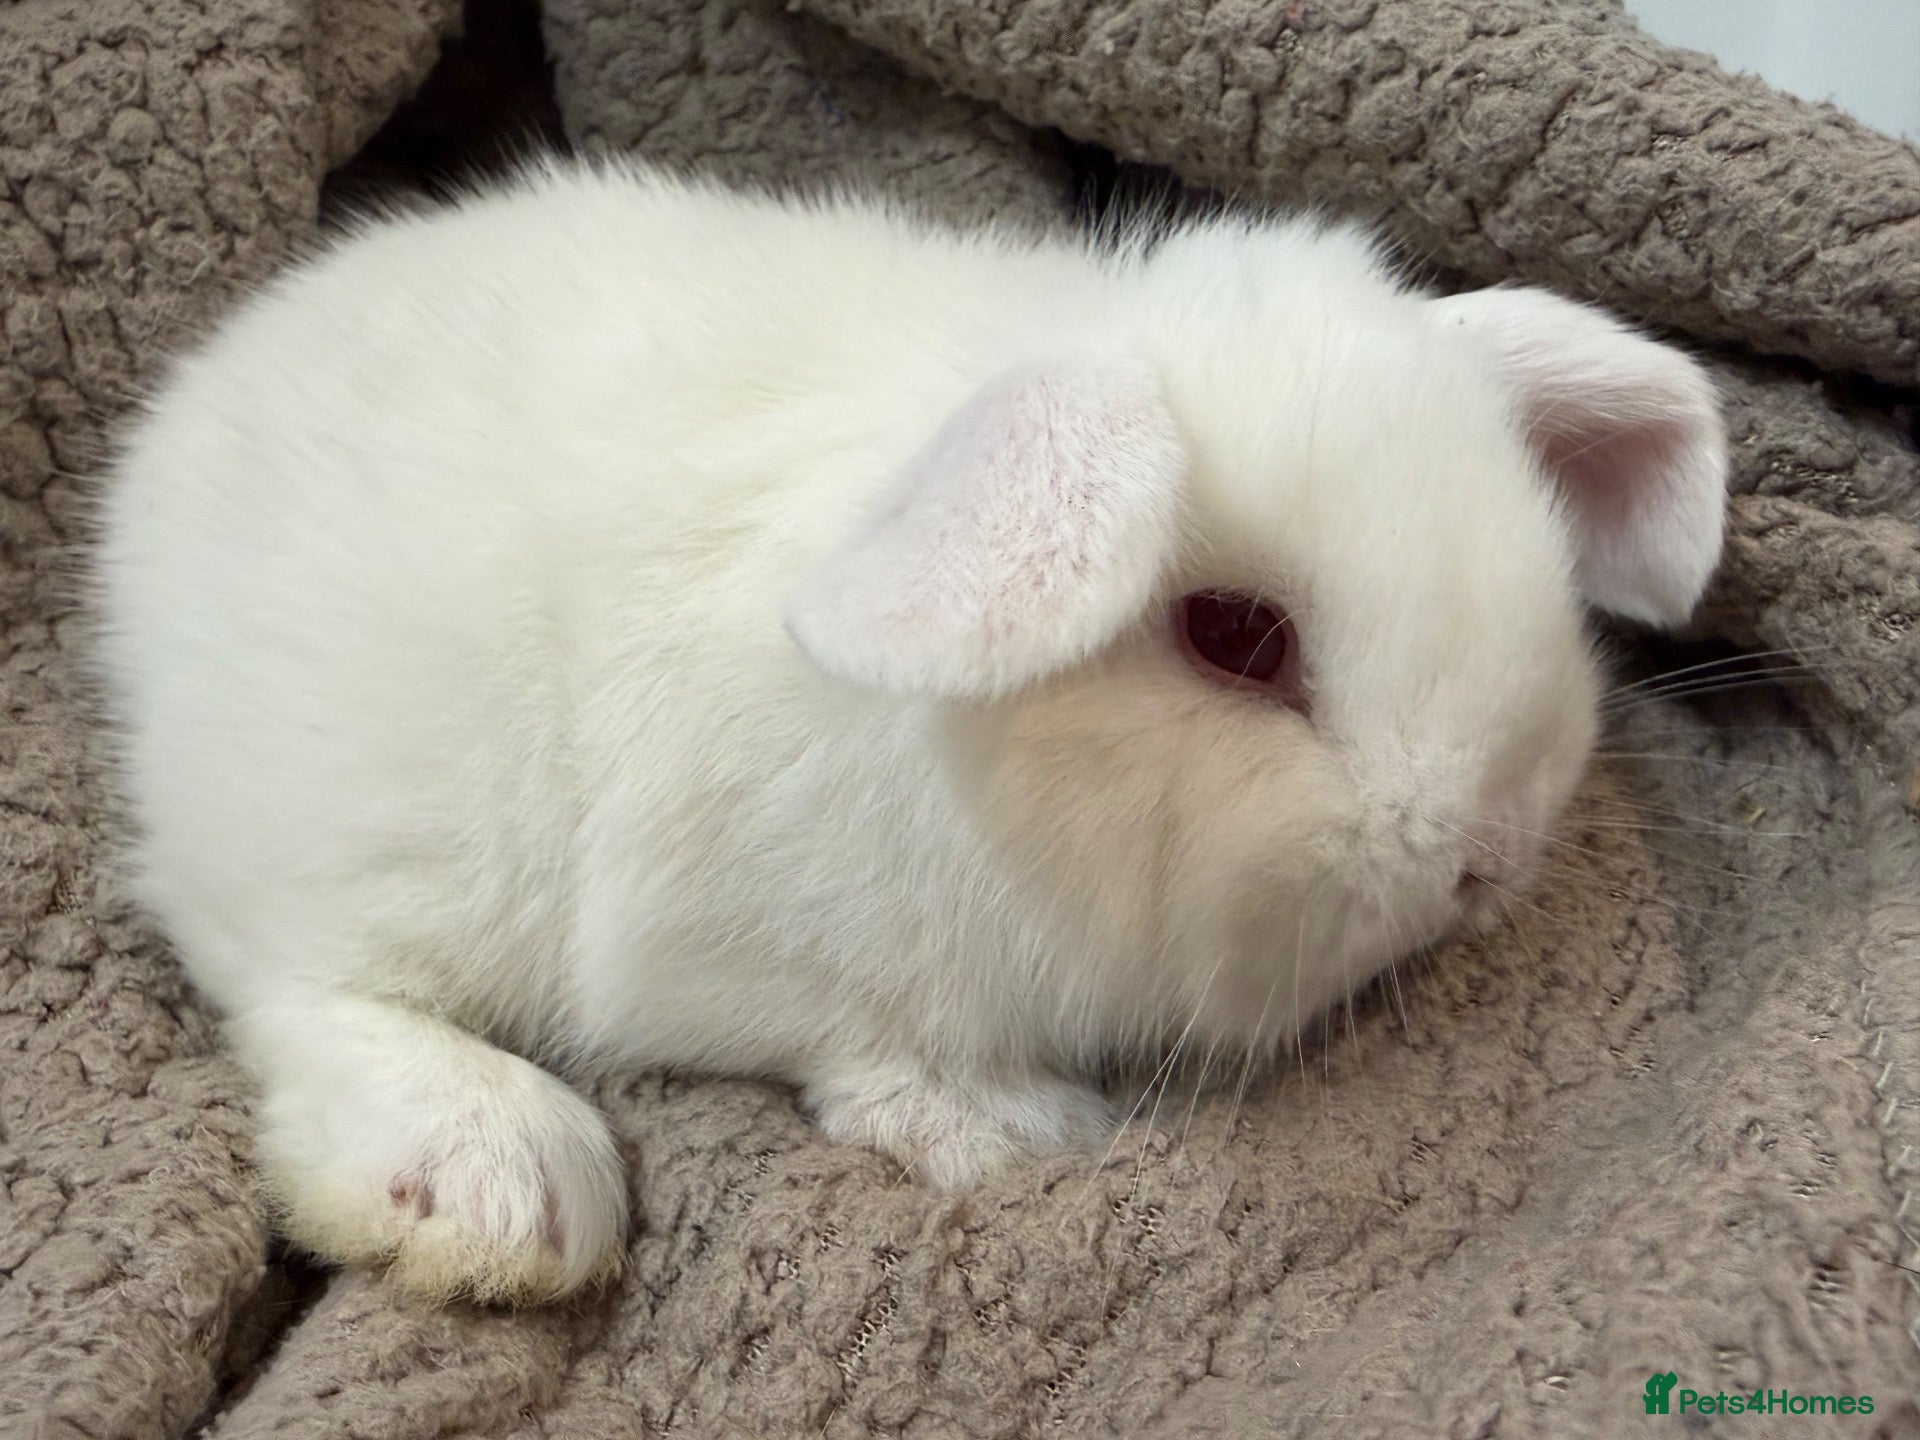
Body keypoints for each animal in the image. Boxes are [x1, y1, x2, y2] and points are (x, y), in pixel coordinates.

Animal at [89, 159, 1727, 1305]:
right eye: (1239, 639)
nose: (1487, 857)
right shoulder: (759, 951)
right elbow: (868, 1054)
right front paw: (1014, 1135)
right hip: (382, 840)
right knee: (301, 991)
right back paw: (500, 1191)